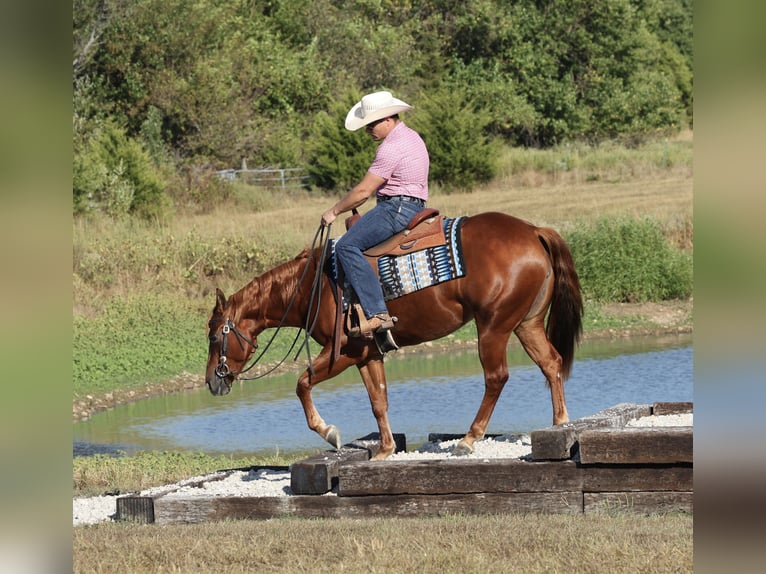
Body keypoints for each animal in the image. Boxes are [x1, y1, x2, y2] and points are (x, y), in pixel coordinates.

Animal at [204, 211, 583, 460]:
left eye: (213, 336)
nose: (212, 381)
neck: (313, 285)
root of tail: (533, 231)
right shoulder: (367, 354)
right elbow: (379, 400)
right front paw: (385, 450)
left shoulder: (343, 351)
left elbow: (302, 383)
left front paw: (330, 433)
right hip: (526, 323)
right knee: (551, 362)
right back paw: (559, 424)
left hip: (493, 326)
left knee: (496, 377)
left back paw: (469, 439)